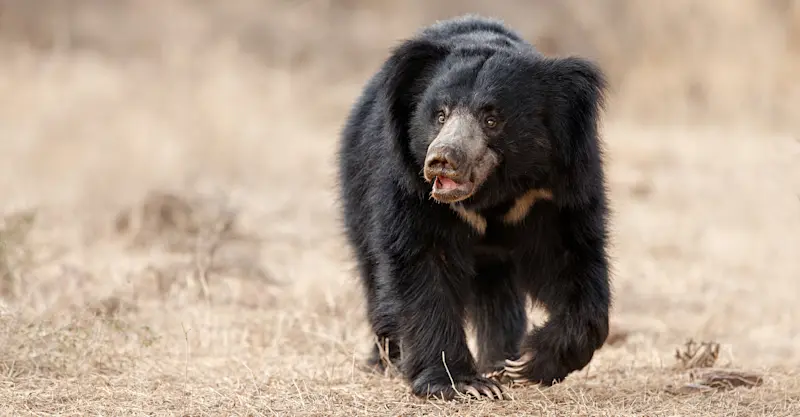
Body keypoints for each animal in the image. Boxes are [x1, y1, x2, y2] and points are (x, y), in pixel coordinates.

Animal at [336, 14, 612, 401]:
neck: (490, 196)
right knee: (374, 274)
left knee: (498, 294)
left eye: (491, 119)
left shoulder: (556, 190)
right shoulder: (409, 188)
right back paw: (386, 360)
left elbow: (573, 259)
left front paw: (526, 362)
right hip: (357, 190)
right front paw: (463, 383)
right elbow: (422, 266)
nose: (442, 160)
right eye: (439, 115)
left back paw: (499, 359)